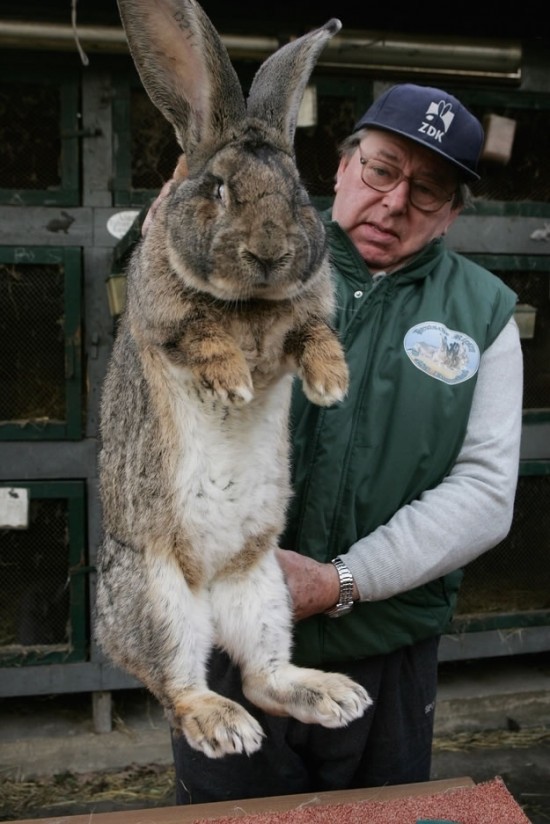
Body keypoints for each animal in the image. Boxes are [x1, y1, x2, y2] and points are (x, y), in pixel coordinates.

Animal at [95, 0, 372, 760]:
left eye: (302, 193)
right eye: (217, 189)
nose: (270, 253)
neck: (251, 302)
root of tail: (213, 585)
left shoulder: (299, 320)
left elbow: (312, 335)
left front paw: (330, 384)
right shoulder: (166, 320)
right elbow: (201, 338)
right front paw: (232, 385)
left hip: (264, 590)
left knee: (261, 676)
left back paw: (332, 695)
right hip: (161, 596)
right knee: (179, 686)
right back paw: (222, 725)